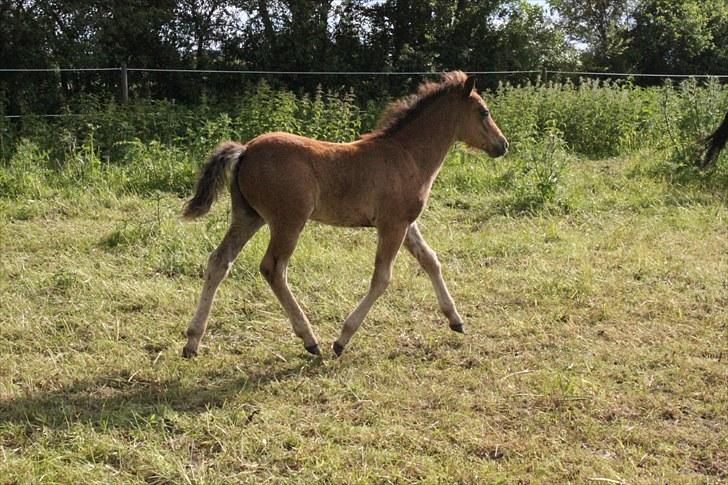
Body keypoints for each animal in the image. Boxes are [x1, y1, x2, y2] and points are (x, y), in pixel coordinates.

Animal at [180, 70, 510, 356]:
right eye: (483, 112)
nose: (502, 145)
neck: (407, 156)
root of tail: (245, 150)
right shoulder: (392, 225)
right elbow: (382, 278)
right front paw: (342, 340)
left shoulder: (406, 224)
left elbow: (430, 260)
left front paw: (456, 320)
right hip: (288, 221)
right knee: (273, 268)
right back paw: (310, 339)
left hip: (248, 216)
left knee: (219, 261)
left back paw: (192, 341)